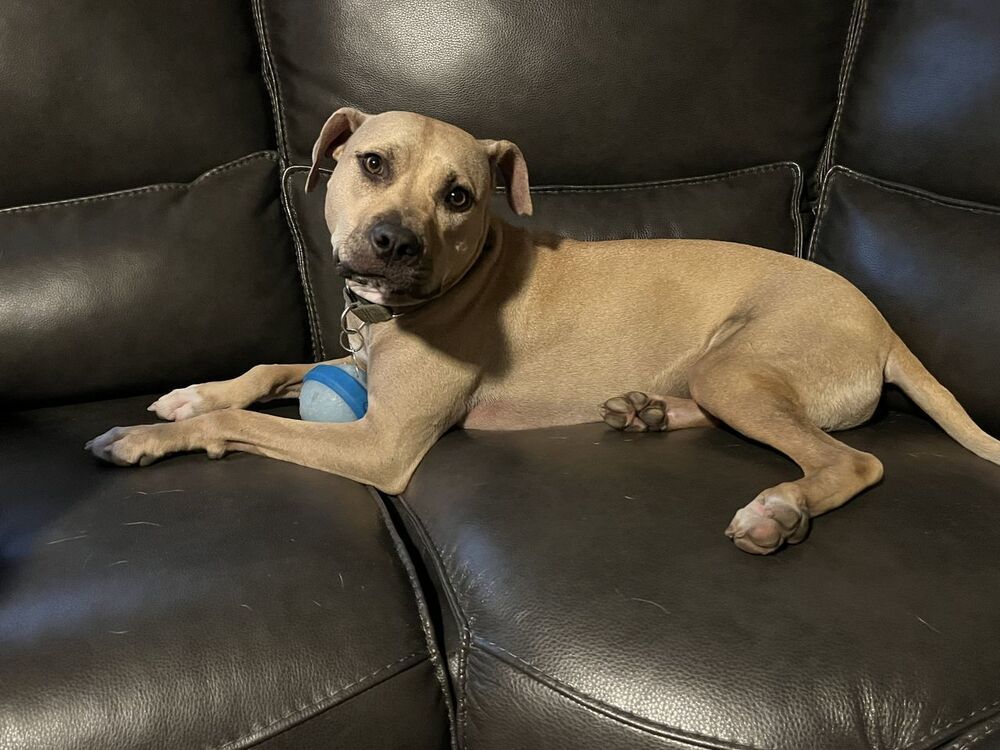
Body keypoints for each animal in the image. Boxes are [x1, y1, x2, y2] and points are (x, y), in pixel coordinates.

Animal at [88, 113, 1000, 560]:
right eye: (373, 164)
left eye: (460, 196)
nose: (393, 244)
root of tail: (884, 324)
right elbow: (267, 369)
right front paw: (189, 394)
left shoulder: (379, 442)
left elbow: (242, 422)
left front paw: (142, 437)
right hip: (721, 371)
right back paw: (642, 412)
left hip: (743, 369)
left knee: (848, 461)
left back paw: (779, 510)